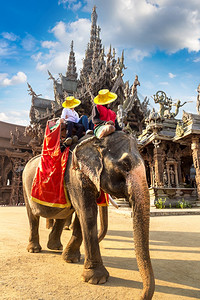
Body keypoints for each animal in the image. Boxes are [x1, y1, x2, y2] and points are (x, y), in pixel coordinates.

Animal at [23, 132, 155, 300]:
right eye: (125, 165)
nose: (140, 296)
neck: (95, 141)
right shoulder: (76, 175)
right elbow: (87, 212)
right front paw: (97, 279)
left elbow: (82, 215)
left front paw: (71, 259)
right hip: (25, 187)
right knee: (32, 217)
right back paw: (34, 250)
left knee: (61, 215)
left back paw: (56, 247)